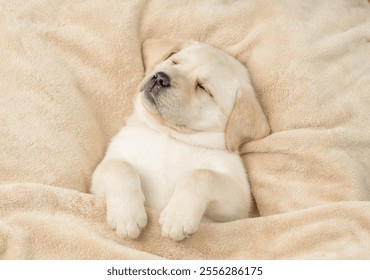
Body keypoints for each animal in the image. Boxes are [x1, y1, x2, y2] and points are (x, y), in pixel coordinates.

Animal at [89, 38, 268, 242]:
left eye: (203, 88)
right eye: (174, 62)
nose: (160, 78)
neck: (170, 134)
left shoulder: (239, 204)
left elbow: (201, 174)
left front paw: (178, 216)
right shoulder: (99, 177)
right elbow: (119, 166)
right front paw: (126, 214)